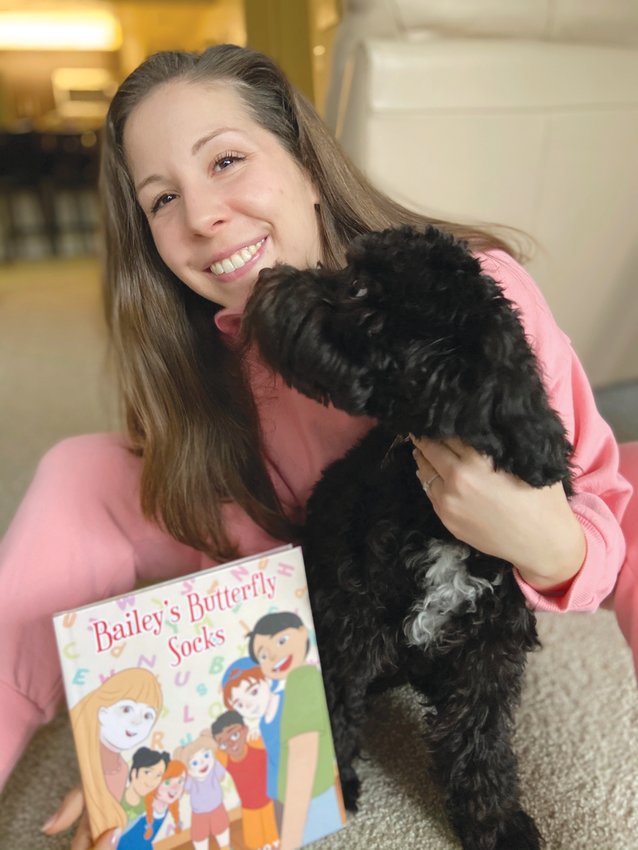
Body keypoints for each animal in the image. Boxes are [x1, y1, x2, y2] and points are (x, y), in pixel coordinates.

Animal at [241, 224, 576, 848]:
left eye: (360, 288)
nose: (269, 279)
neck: (431, 513)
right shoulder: (349, 619)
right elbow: (334, 703)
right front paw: (330, 789)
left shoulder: (491, 641)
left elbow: (480, 735)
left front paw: (494, 821)